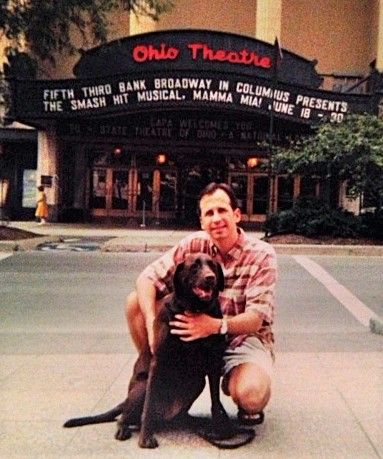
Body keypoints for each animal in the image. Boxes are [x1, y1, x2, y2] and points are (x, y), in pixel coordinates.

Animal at [63, 252, 255, 450]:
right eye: (194, 266)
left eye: (213, 266)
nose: (210, 278)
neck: (194, 308)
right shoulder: (158, 362)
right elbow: (148, 404)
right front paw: (146, 437)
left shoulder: (213, 363)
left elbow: (215, 401)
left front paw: (219, 429)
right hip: (141, 388)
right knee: (127, 415)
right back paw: (124, 428)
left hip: (196, 382)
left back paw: (195, 421)